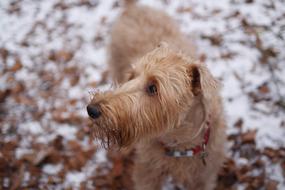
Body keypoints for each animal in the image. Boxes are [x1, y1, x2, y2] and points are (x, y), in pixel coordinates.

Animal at [87, 1, 225, 190]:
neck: (180, 145)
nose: (91, 109)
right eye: (132, 76)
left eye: (153, 88)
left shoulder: (205, 176)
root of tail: (133, 8)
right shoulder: (147, 173)